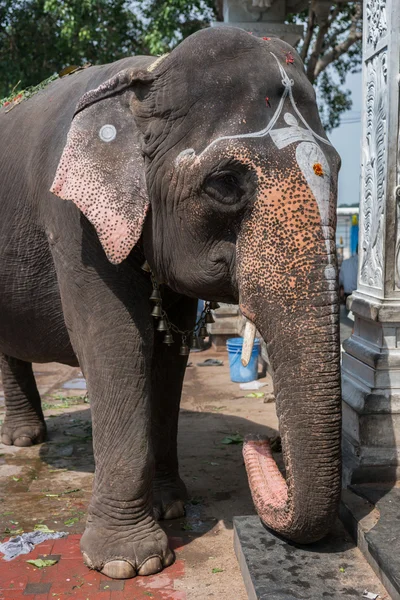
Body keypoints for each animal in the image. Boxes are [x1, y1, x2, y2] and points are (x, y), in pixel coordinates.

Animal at [0, 25, 340, 580]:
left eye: (336, 166)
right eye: (225, 183)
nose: (264, 443)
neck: (148, 73)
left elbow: (166, 354)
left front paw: (172, 506)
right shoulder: (71, 222)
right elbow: (117, 345)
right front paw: (128, 564)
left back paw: (28, 440)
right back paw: (22, 443)